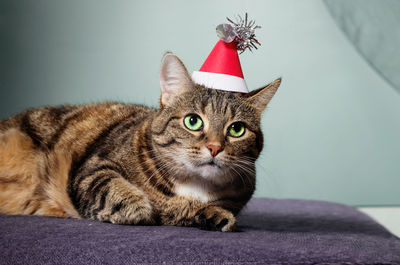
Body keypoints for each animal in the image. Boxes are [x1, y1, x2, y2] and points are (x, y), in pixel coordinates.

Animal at [0, 53, 282, 231]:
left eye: (237, 129)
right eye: (193, 121)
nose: (215, 147)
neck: (195, 186)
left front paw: (211, 214)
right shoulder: (91, 168)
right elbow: (112, 186)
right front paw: (140, 207)